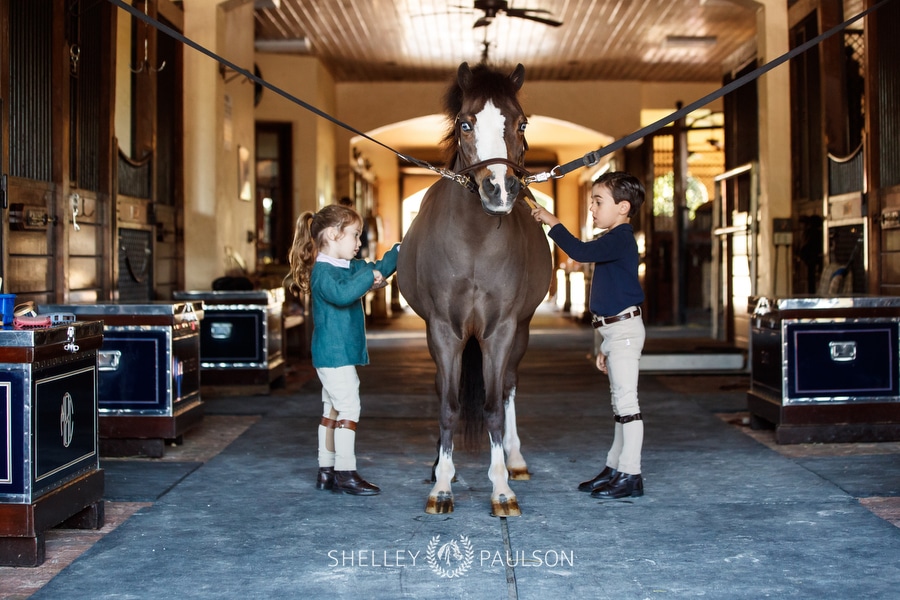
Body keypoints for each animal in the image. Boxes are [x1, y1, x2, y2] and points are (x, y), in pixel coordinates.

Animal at [398, 63, 552, 516]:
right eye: (465, 124)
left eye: (522, 123)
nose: (499, 189)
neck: (474, 242)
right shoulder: (444, 331)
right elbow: (448, 405)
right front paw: (441, 487)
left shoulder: (500, 330)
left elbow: (494, 407)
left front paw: (501, 489)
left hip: (521, 331)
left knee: (509, 387)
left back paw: (515, 461)